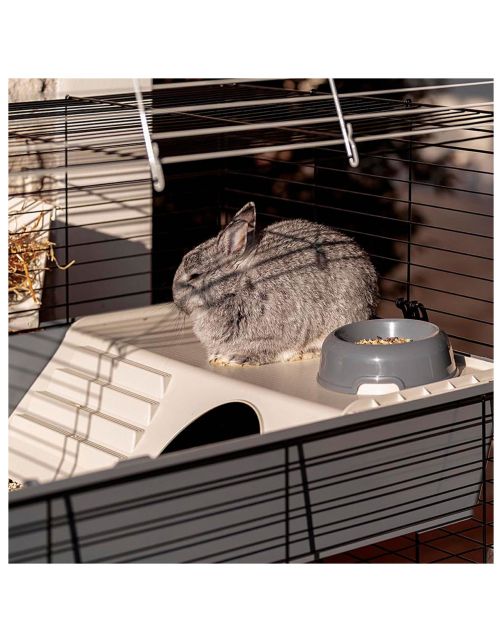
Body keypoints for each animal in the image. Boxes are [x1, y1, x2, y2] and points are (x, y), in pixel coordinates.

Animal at [172, 202, 379, 366]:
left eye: (194, 276)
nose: (175, 299)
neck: (236, 287)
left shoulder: (274, 334)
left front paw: (236, 359)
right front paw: (216, 357)